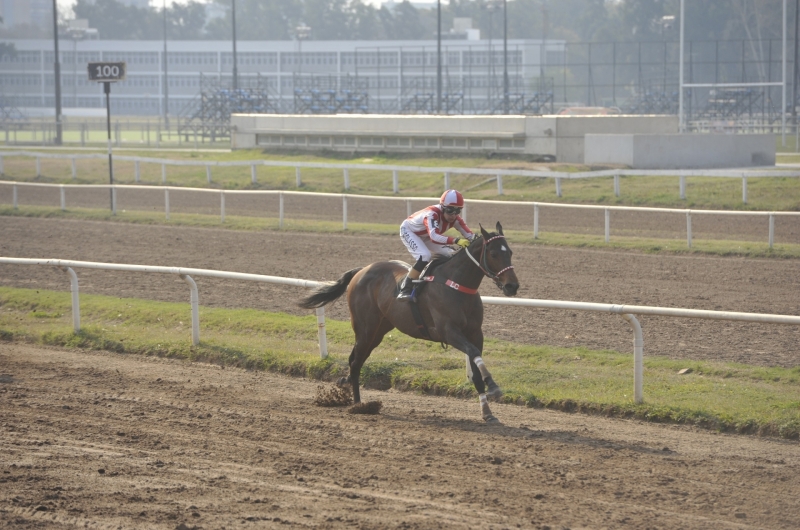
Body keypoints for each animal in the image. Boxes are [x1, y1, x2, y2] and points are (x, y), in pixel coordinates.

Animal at [298, 221, 520, 418]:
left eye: (509, 252)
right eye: (493, 254)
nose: (512, 286)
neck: (456, 285)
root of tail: (361, 270)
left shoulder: (475, 333)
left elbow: (476, 368)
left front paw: (487, 412)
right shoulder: (449, 332)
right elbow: (473, 353)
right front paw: (493, 385)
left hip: (378, 330)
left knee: (356, 358)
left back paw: (350, 390)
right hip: (365, 327)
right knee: (356, 362)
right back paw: (359, 405)